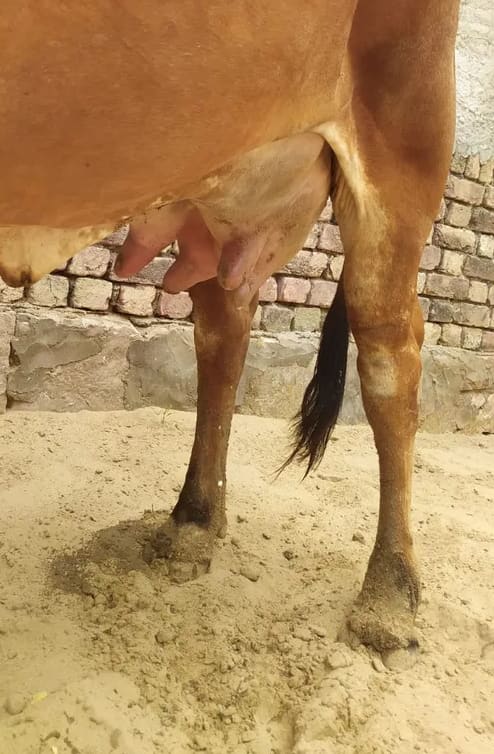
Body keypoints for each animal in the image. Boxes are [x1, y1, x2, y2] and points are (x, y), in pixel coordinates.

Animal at [0, 1, 460, 653]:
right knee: (226, 330)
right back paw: (192, 524)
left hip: (403, 141)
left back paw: (390, 597)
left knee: (389, 354)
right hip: (222, 190)